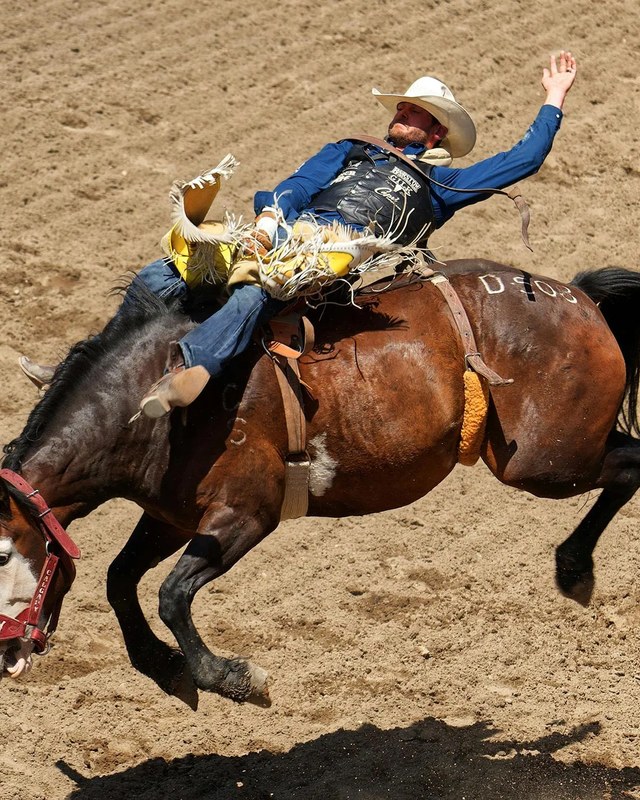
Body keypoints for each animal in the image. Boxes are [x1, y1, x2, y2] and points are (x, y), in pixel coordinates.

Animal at [2, 259, 640, 706]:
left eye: (5, 553)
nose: (6, 653)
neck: (158, 403)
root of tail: (580, 298)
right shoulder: (170, 516)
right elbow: (119, 579)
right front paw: (163, 668)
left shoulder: (246, 514)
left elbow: (172, 594)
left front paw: (234, 678)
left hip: (547, 463)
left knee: (631, 462)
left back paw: (575, 568)